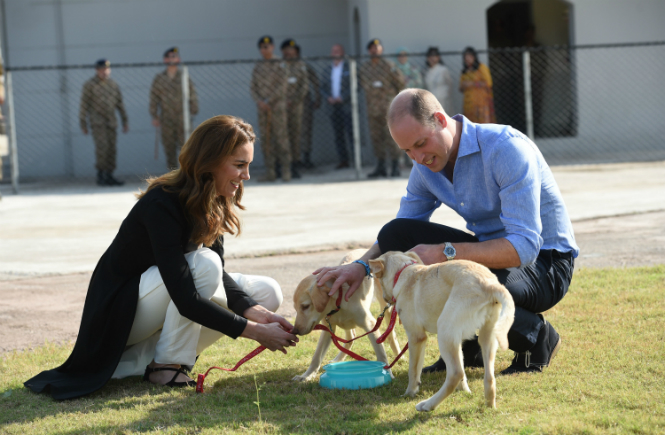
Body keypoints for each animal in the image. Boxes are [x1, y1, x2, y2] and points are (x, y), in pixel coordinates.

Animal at [290, 250, 400, 384]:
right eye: (296, 308)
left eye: (305, 306)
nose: (295, 330)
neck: (339, 300)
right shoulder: (328, 329)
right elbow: (316, 357)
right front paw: (306, 375)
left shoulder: (371, 324)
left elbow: (381, 355)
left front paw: (387, 373)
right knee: (350, 338)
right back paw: (338, 360)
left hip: (386, 305)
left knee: (391, 334)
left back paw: (399, 354)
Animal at [368, 250, 512, 410]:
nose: (385, 299)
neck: (403, 272)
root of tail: (490, 284)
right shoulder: (456, 339)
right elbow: (462, 370)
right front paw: (464, 391)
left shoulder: (416, 337)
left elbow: (413, 370)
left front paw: (409, 393)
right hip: (487, 336)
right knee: (487, 376)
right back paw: (489, 405)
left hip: (443, 329)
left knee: (455, 373)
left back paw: (427, 405)